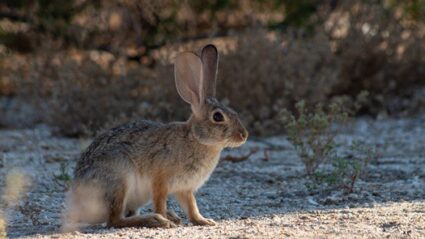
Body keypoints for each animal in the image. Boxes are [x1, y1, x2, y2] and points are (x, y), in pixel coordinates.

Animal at [66, 44, 248, 230]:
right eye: (218, 117)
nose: (244, 135)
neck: (196, 139)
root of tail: (80, 204)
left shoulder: (185, 188)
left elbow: (191, 206)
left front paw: (203, 221)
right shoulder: (160, 181)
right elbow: (160, 201)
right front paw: (166, 221)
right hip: (119, 178)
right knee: (115, 220)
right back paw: (156, 220)